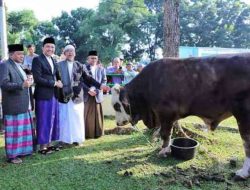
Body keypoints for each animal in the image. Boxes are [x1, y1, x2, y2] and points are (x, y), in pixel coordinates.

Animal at [111, 53, 250, 178]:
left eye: (117, 106)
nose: (117, 123)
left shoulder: (166, 113)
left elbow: (165, 133)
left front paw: (164, 150)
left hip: (243, 115)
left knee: (247, 143)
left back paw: (243, 173)